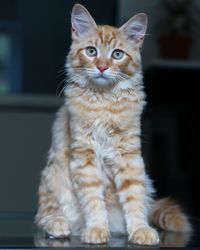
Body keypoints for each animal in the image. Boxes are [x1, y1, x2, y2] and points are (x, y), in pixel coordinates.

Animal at [35, 3, 191, 246]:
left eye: (117, 54)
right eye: (91, 51)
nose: (102, 67)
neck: (104, 102)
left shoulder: (129, 157)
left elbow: (134, 198)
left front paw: (140, 230)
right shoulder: (84, 157)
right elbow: (93, 201)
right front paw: (97, 229)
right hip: (52, 176)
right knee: (45, 214)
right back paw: (59, 225)